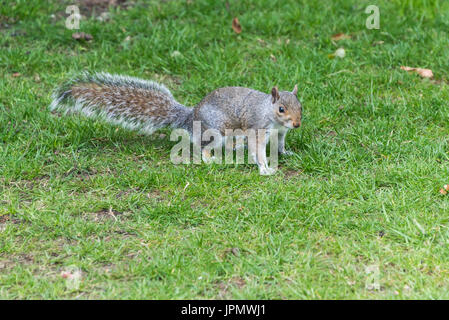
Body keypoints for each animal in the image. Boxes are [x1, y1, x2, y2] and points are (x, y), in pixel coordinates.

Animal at [49, 72, 302, 175]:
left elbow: (280, 144)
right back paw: (210, 159)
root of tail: (191, 116)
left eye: (301, 106)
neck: (270, 114)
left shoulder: (280, 133)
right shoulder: (257, 129)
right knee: (203, 147)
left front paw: (285, 153)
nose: (297, 125)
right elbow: (258, 151)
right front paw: (265, 168)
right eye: (281, 109)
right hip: (216, 131)